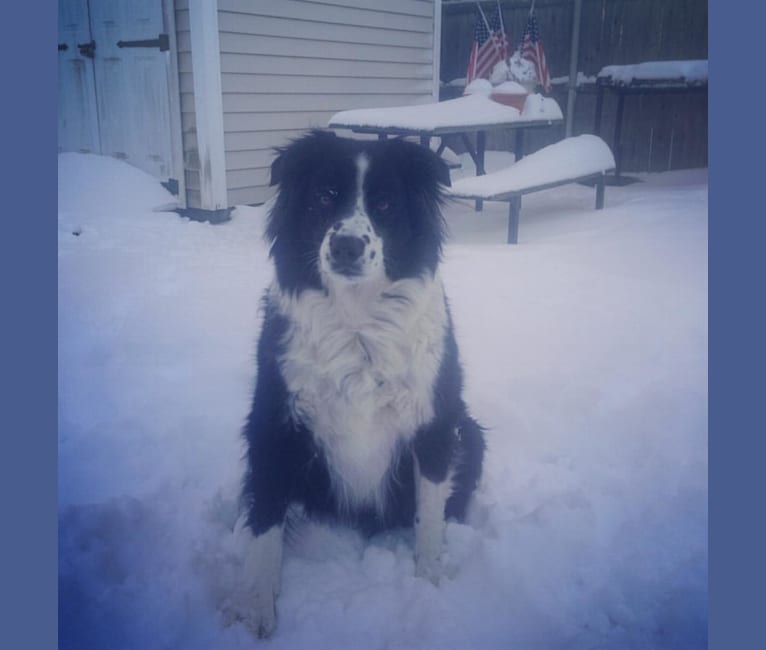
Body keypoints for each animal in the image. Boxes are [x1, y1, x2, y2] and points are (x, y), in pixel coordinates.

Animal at [225, 129, 486, 636]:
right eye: (325, 196)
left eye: (385, 204)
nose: (346, 246)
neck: (358, 324)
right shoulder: (273, 421)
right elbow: (266, 514)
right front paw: (256, 603)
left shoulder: (435, 423)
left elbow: (429, 513)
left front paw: (430, 578)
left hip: (470, 432)